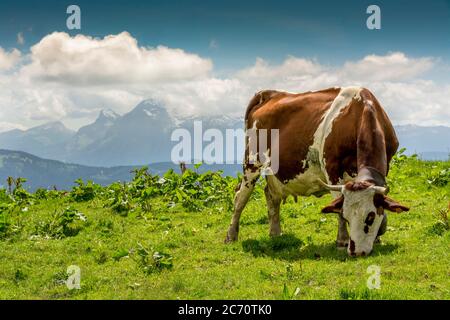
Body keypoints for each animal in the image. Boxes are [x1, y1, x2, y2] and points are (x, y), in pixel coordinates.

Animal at [225, 86, 408, 256]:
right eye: (346, 214)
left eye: (370, 216)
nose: (356, 251)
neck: (360, 112)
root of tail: (268, 94)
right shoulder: (332, 169)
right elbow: (337, 202)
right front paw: (342, 240)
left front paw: (377, 238)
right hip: (252, 161)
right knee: (240, 197)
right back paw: (231, 236)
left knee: (271, 195)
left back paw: (276, 233)